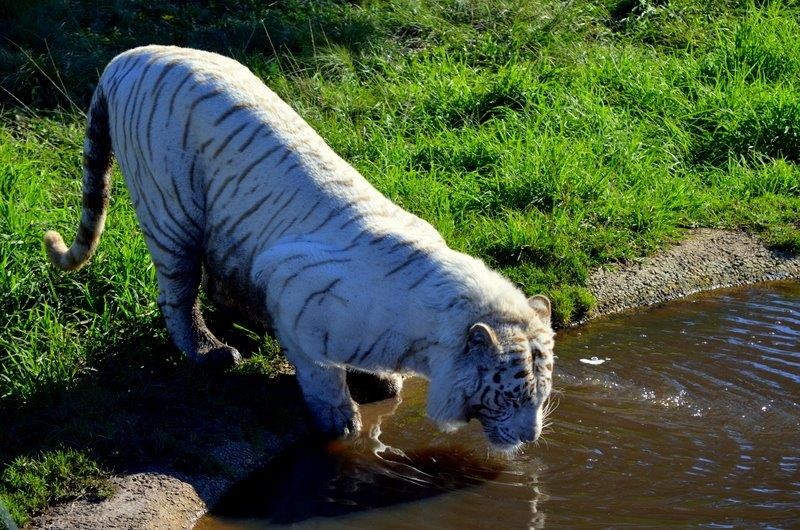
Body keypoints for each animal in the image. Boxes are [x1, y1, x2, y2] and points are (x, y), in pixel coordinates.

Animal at [44, 45, 555, 451]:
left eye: (543, 395)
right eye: (513, 396)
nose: (531, 438)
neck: (427, 341)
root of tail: (125, 58)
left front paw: (379, 381)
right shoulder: (293, 287)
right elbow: (319, 370)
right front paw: (341, 419)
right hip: (172, 208)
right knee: (178, 293)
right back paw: (209, 351)